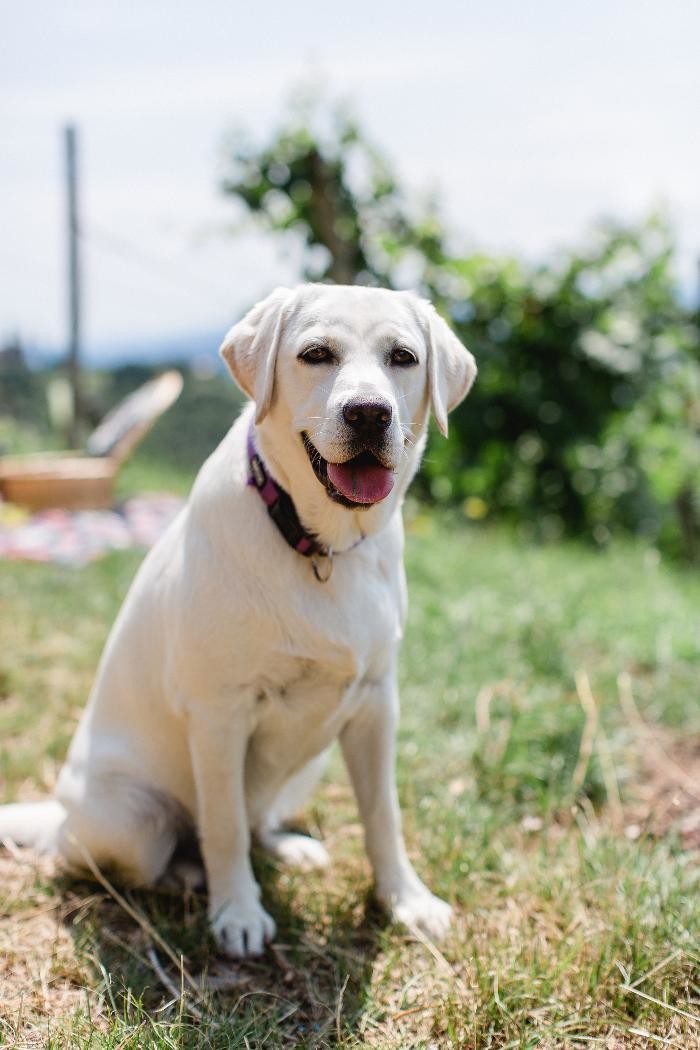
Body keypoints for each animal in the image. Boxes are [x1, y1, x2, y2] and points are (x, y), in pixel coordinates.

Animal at [0, 283, 476, 957]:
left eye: (403, 357)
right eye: (316, 353)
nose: (368, 413)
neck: (318, 544)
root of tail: (60, 813)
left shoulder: (376, 703)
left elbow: (383, 814)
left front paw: (405, 900)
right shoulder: (219, 714)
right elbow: (222, 823)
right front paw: (238, 911)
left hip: (313, 759)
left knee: (260, 821)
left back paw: (288, 847)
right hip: (127, 818)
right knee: (134, 851)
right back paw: (187, 876)